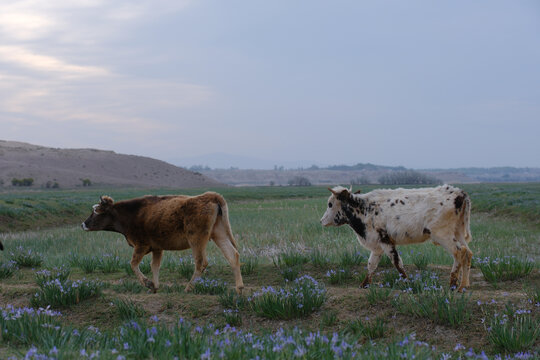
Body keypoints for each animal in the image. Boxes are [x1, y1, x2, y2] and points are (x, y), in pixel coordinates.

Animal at [81, 193, 244, 294]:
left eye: (96, 211)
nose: (83, 224)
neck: (130, 214)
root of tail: (211, 196)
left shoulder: (141, 246)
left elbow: (133, 264)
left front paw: (148, 283)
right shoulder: (157, 248)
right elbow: (155, 266)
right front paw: (155, 286)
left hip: (197, 240)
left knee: (201, 262)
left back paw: (188, 288)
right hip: (219, 234)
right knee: (233, 256)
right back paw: (239, 288)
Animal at [320, 184, 472, 292]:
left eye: (330, 204)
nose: (322, 221)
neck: (365, 209)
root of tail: (459, 193)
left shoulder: (386, 240)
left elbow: (397, 262)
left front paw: (407, 283)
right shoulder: (377, 245)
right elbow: (371, 264)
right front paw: (364, 284)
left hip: (442, 234)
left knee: (459, 252)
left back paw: (454, 284)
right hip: (458, 232)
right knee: (468, 253)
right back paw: (463, 285)